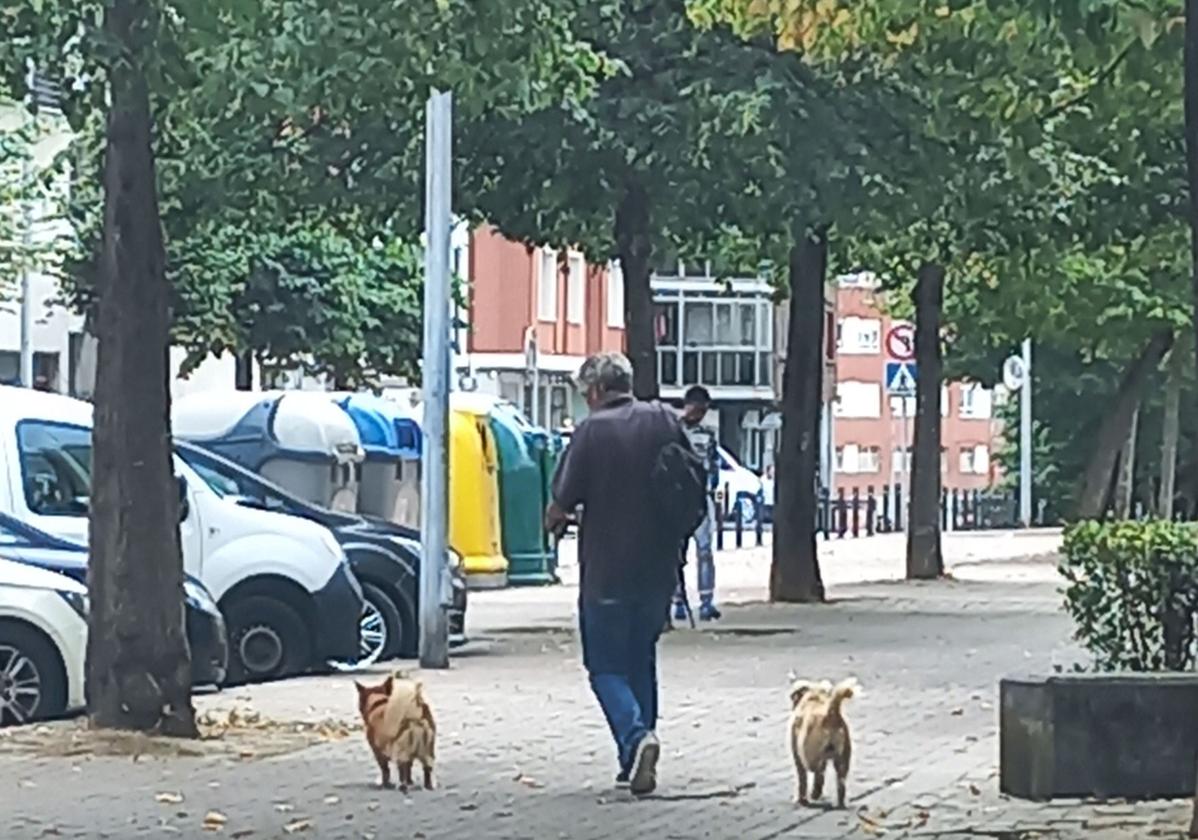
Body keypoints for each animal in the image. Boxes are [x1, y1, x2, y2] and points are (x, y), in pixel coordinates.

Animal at [785, 675, 862, 805]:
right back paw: (839, 803)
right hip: (842, 760)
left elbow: (802, 779)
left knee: (817, 776)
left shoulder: (797, 755)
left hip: (810, 757)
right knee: (840, 783)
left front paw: (801, 799)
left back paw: (814, 795)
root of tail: (831, 713)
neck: (814, 697)